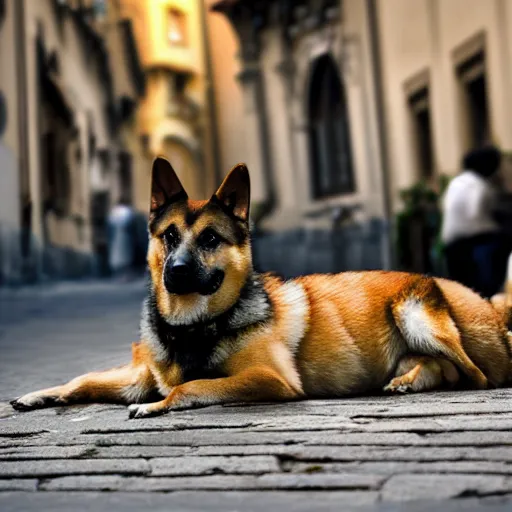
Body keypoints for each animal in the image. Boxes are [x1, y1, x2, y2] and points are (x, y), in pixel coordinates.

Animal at [9, 158, 512, 418]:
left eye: (211, 239)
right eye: (169, 235)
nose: (176, 270)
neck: (192, 326)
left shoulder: (269, 379)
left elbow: (190, 387)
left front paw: (157, 407)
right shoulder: (139, 376)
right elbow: (85, 379)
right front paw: (41, 394)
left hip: (417, 312)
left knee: (474, 376)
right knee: (441, 369)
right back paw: (406, 379)